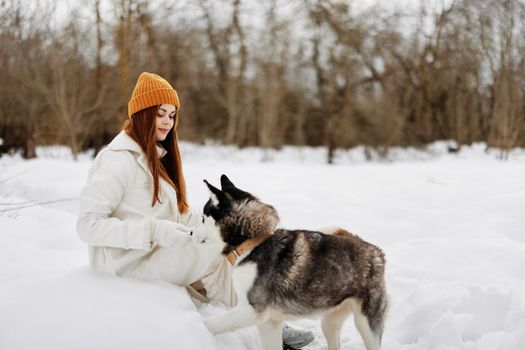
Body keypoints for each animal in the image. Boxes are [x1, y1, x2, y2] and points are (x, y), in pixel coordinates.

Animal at [200, 176, 384, 350]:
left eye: (202, 218)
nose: (193, 231)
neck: (252, 244)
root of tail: (373, 249)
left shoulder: (252, 310)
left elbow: (211, 324)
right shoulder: (269, 322)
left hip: (367, 324)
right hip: (329, 322)